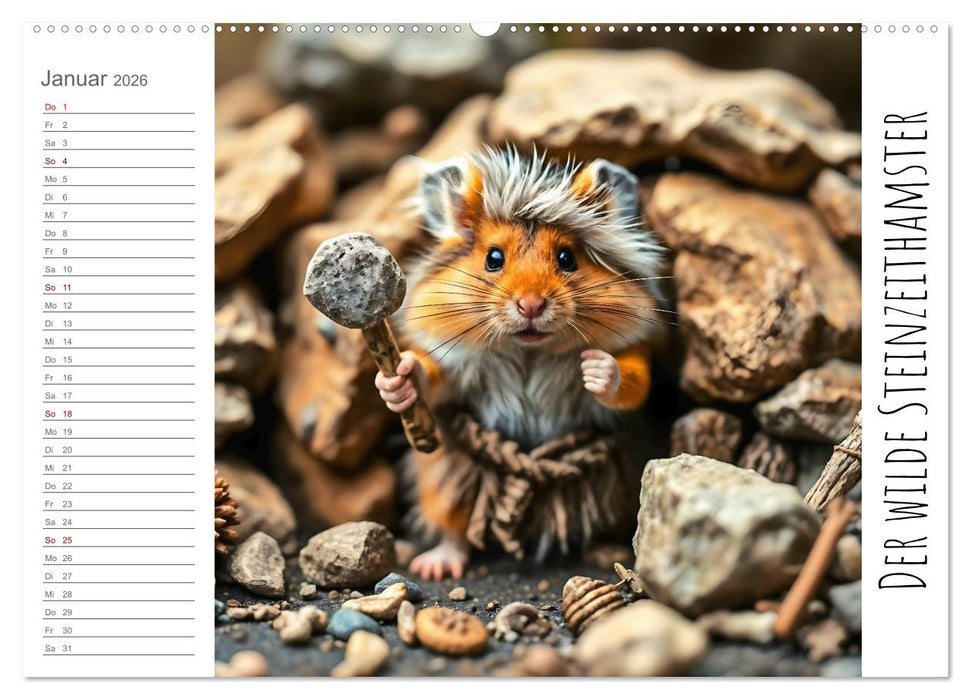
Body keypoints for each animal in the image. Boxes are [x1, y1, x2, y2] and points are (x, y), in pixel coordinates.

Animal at [375, 147, 667, 580]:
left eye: (567, 258)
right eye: (494, 258)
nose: (531, 305)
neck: (529, 351)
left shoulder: (637, 358)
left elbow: (633, 382)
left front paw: (595, 368)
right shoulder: (459, 367)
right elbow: (431, 377)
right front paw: (397, 381)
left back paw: (603, 551)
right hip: (445, 480)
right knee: (454, 528)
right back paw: (436, 567)